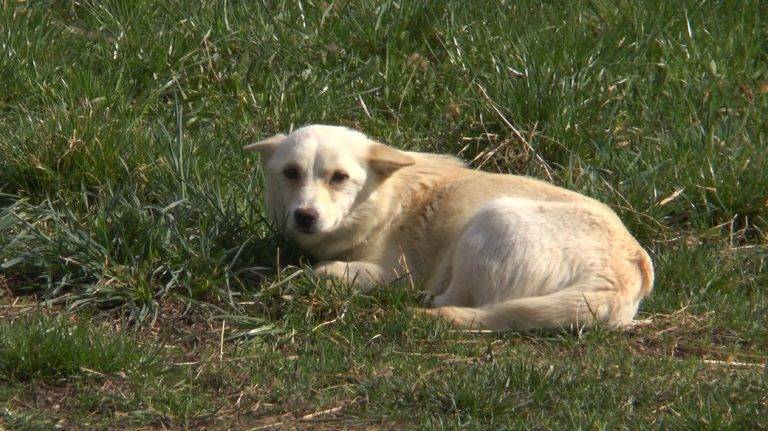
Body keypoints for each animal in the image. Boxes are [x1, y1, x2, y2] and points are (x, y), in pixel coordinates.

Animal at [246, 123, 656, 332]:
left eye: (339, 178)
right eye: (291, 173)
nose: (305, 216)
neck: (382, 200)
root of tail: (625, 275)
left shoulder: (394, 271)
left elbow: (320, 271)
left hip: (489, 221)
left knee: (452, 300)